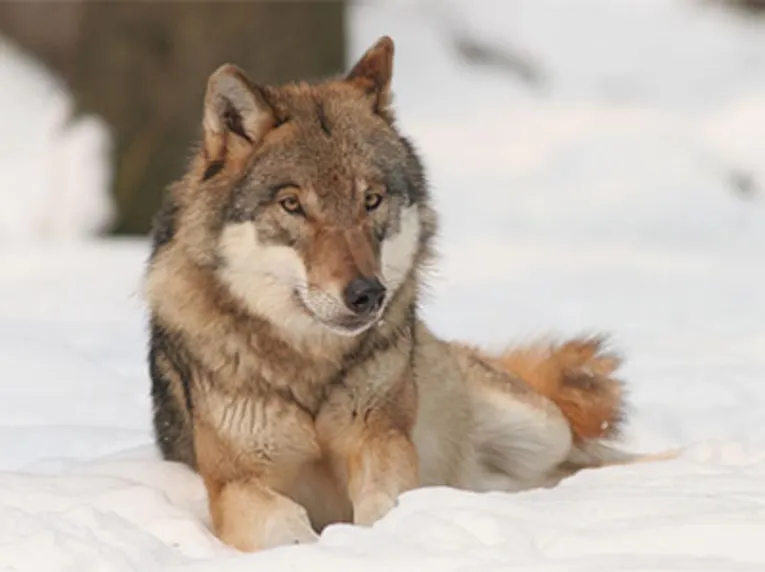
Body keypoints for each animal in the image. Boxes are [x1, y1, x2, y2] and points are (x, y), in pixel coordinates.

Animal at [145, 36, 674, 552]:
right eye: (292, 205)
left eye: (371, 200)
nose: (366, 294)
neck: (311, 370)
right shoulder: (234, 482)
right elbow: (284, 525)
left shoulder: (383, 441)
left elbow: (384, 507)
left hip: (543, 428)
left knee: (594, 458)